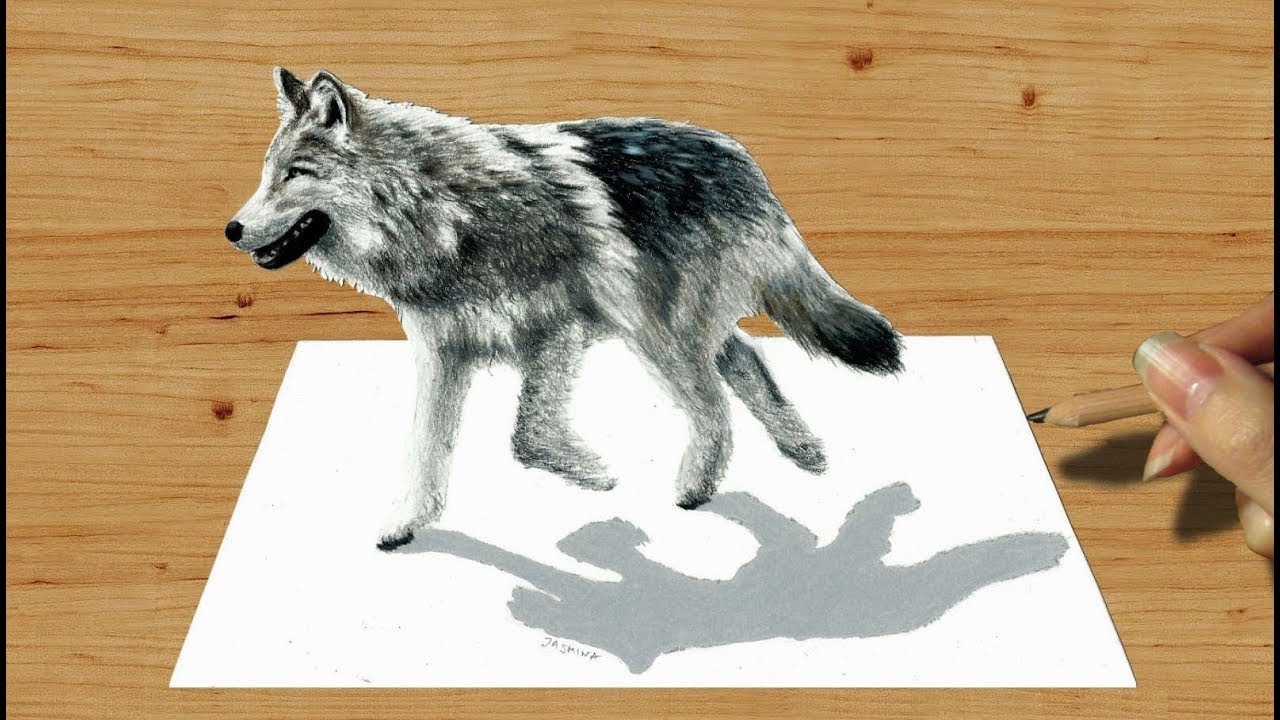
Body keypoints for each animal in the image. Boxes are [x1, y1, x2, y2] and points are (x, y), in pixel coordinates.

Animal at [226, 68, 904, 551]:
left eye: (295, 173)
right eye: (266, 174)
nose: (231, 229)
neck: (445, 216)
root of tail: (740, 157)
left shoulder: (557, 327)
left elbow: (527, 436)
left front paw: (596, 476)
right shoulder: (446, 352)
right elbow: (424, 448)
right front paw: (405, 523)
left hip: (653, 330)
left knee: (715, 402)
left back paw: (699, 486)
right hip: (667, 330)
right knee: (747, 361)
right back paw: (804, 453)